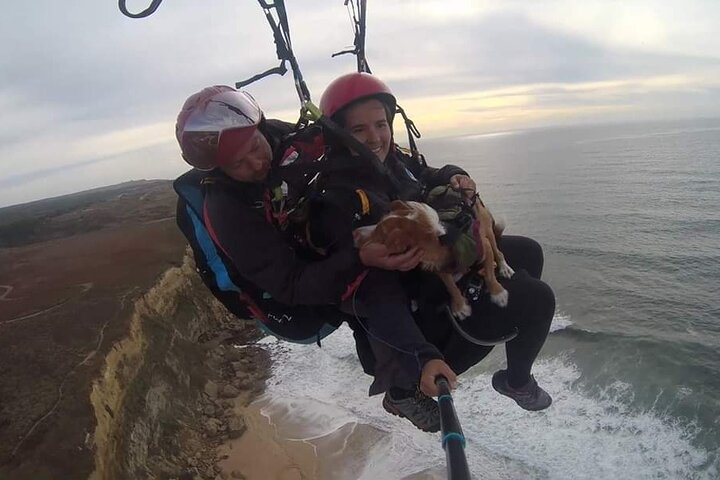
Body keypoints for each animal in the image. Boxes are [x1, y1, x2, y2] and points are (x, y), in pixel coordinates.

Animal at [352, 197, 512, 320]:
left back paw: (504, 268)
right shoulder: (439, 267)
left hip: (488, 231)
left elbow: (490, 275)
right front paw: (460, 306)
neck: (444, 240)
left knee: (498, 252)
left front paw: (498, 293)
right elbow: (450, 286)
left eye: (380, 235)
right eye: (378, 223)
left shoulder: (484, 247)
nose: (355, 233)